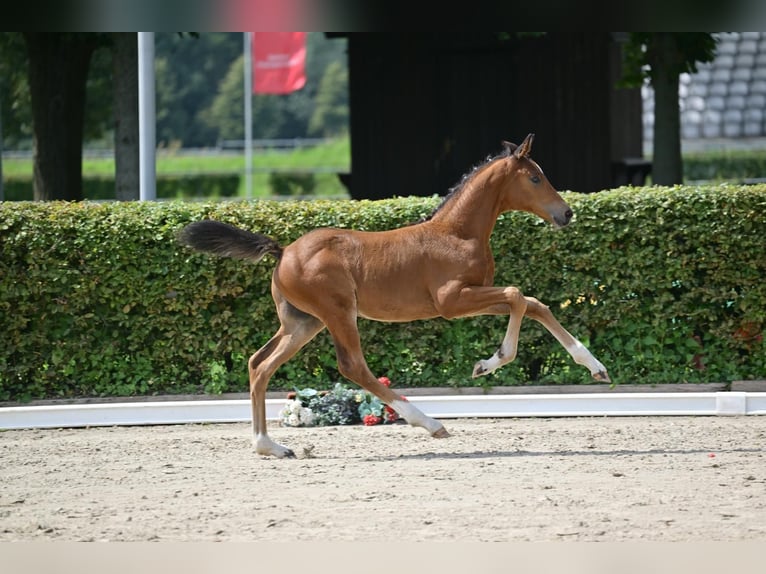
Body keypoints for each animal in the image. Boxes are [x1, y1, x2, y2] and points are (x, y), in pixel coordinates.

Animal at [178, 133, 610, 458]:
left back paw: (270, 446)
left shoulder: (473, 296)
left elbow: (534, 304)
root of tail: (282, 251)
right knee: (352, 366)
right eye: (535, 177)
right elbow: (519, 296)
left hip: (303, 322)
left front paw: (595, 367)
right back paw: (430, 423)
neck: (456, 233)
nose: (566, 213)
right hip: (337, 312)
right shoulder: (451, 301)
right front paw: (489, 363)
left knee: (260, 364)